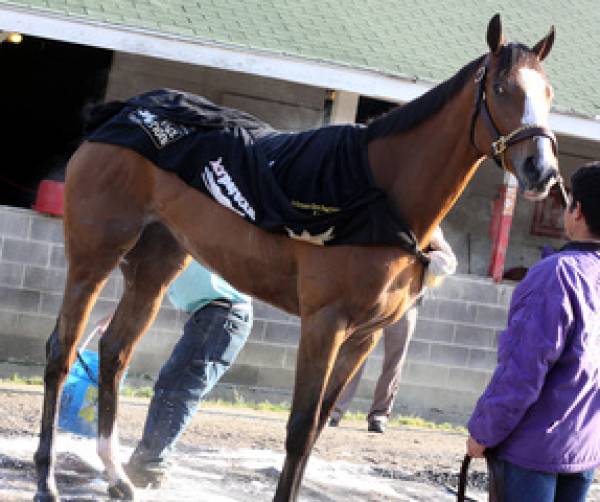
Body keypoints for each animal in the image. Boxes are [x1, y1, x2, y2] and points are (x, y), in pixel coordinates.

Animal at [32, 15, 560, 502]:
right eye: (501, 88)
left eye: (549, 93)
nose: (543, 170)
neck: (377, 193)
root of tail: (126, 112)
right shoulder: (324, 324)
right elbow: (300, 429)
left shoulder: (363, 336)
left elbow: (320, 426)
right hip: (94, 256)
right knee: (62, 350)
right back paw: (47, 481)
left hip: (154, 269)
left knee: (114, 353)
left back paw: (116, 476)